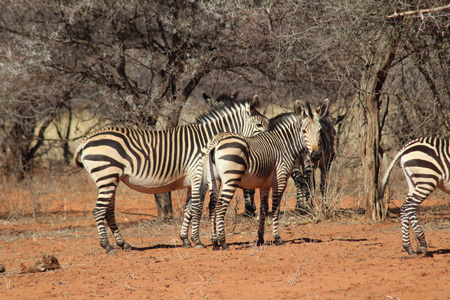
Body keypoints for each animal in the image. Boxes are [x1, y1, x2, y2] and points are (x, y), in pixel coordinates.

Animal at [73, 96, 268, 253]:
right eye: (259, 125)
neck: (209, 141)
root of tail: (87, 139)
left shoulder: (192, 180)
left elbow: (189, 209)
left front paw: (185, 240)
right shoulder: (198, 175)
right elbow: (197, 208)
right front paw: (197, 241)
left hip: (110, 179)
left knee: (108, 210)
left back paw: (124, 244)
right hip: (106, 175)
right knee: (99, 210)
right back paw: (108, 247)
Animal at [189, 98, 326, 248]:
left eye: (320, 130)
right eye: (304, 130)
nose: (316, 154)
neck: (285, 145)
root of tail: (215, 141)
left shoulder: (264, 184)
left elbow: (264, 209)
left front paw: (260, 238)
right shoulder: (280, 180)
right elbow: (275, 208)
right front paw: (277, 238)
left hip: (214, 180)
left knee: (212, 206)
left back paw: (215, 242)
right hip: (230, 179)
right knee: (220, 207)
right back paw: (223, 242)